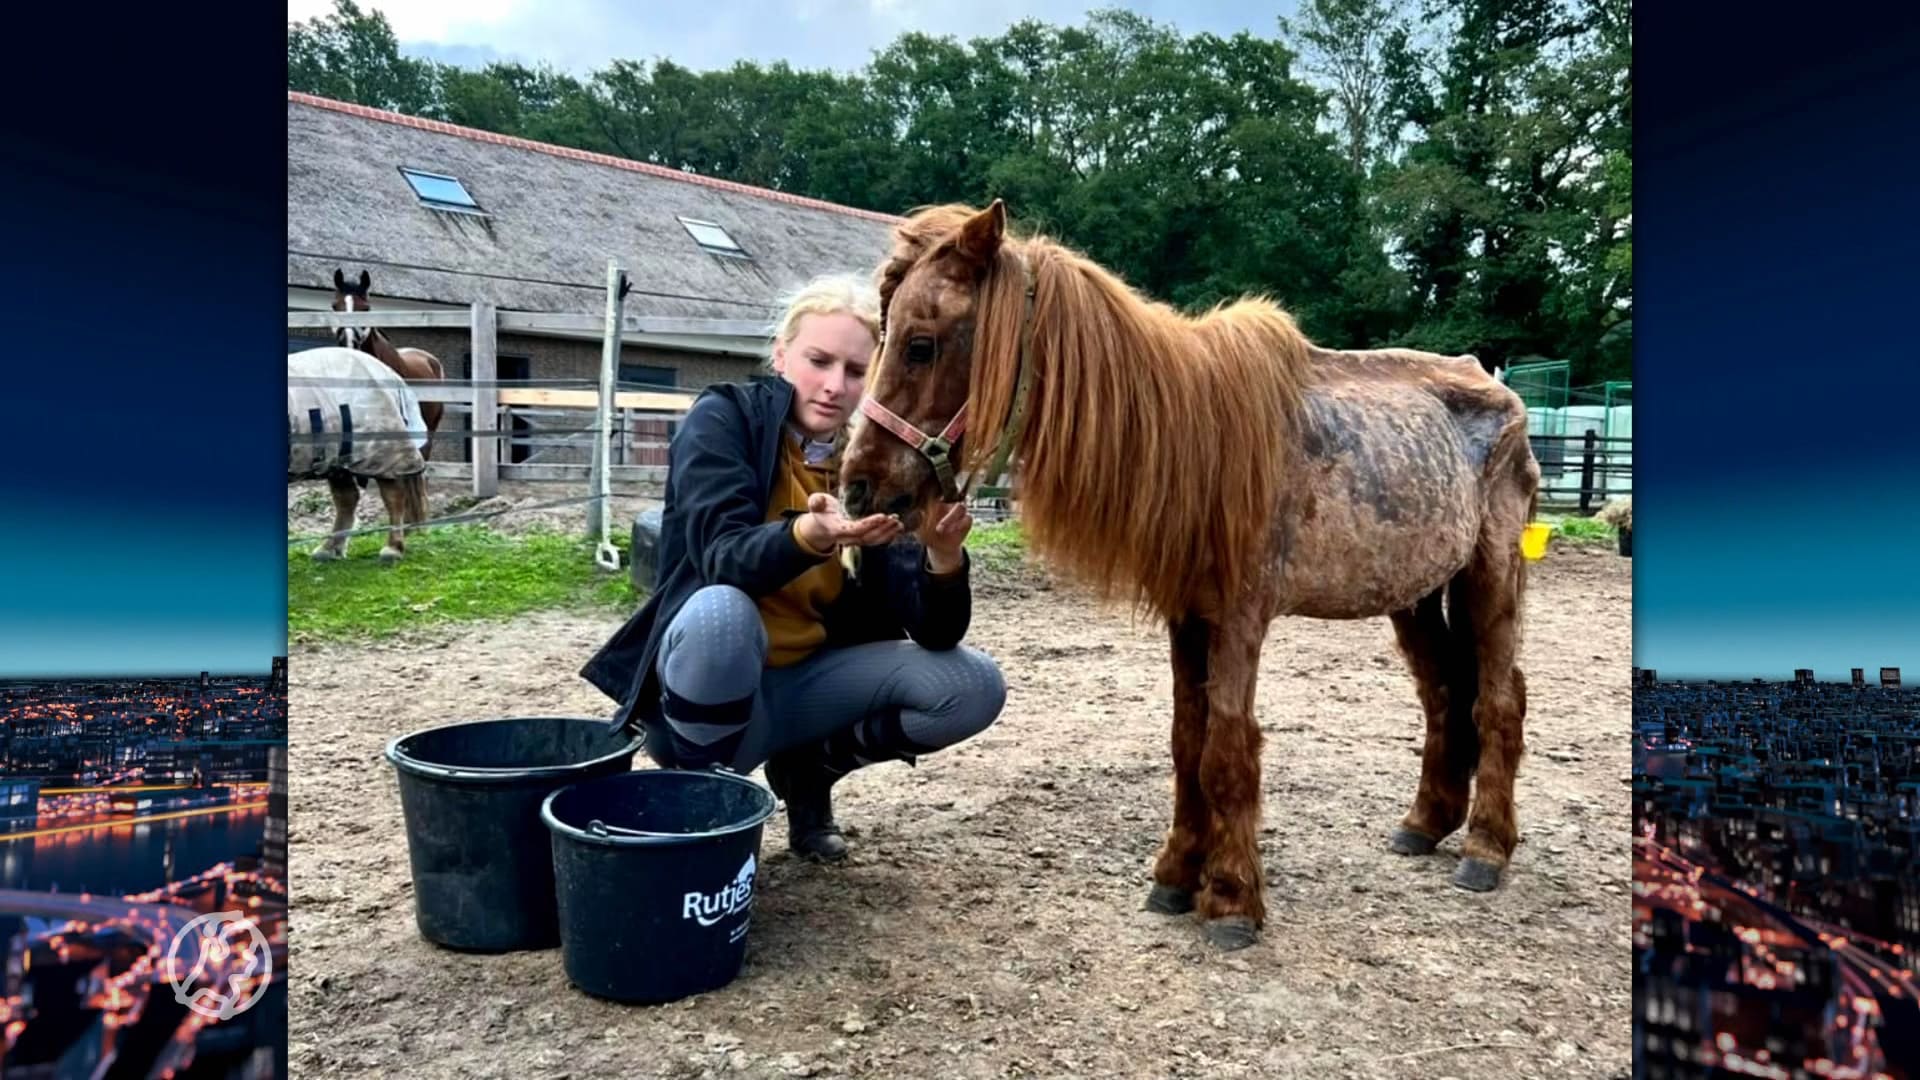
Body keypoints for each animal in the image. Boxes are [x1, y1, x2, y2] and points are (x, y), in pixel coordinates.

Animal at [840, 197, 1543, 945]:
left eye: (920, 344)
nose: (857, 488)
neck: (1198, 439)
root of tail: (1497, 390)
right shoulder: (1188, 615)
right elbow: (1187, 742)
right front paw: (1178, 874)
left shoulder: (1239, 618)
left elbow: (1226, 749)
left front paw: (1231, 897)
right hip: (1414, 594)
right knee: (1443, 694)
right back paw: (1425, 823)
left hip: (1489, 576)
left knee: (1498, 699)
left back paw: (1486, 849)